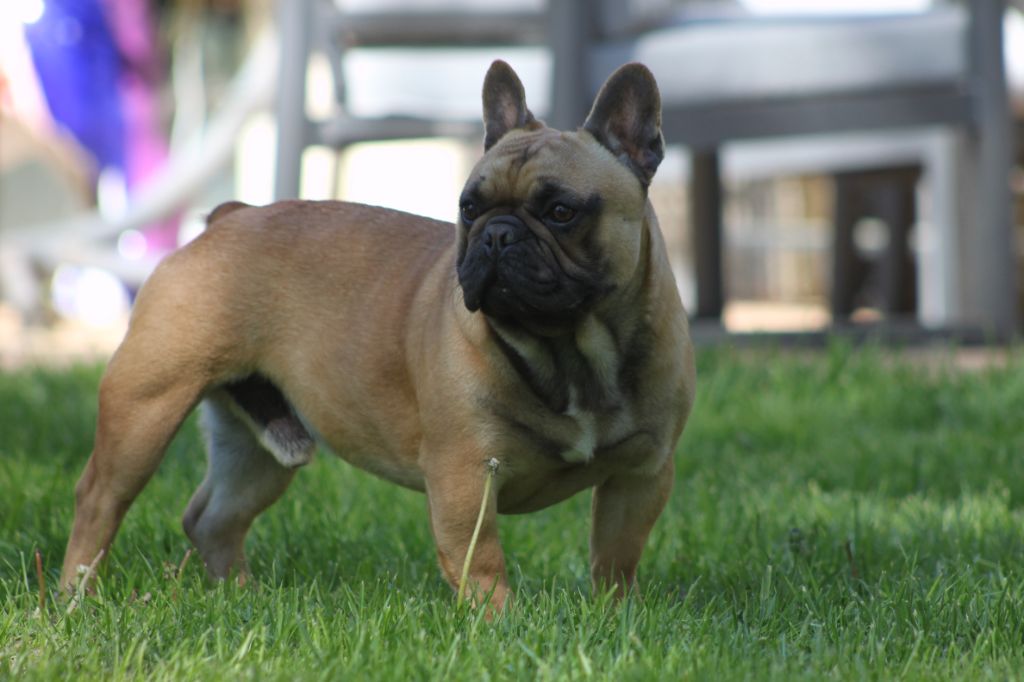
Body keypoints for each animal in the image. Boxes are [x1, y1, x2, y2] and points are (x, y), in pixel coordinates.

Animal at [60, 60, 696, 608]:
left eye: (562, 211)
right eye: (469, 207)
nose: (496, 234)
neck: (569, 350)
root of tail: (230, 215)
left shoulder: (642, 475)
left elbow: (615, 558)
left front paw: (614, 616)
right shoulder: (465, 474)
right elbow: (481, 561)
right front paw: (500, 623)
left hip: (258, 445)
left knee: (215, 517)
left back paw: (241, 597)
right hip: (146, 407)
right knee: (98, 500)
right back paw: (76, 597)